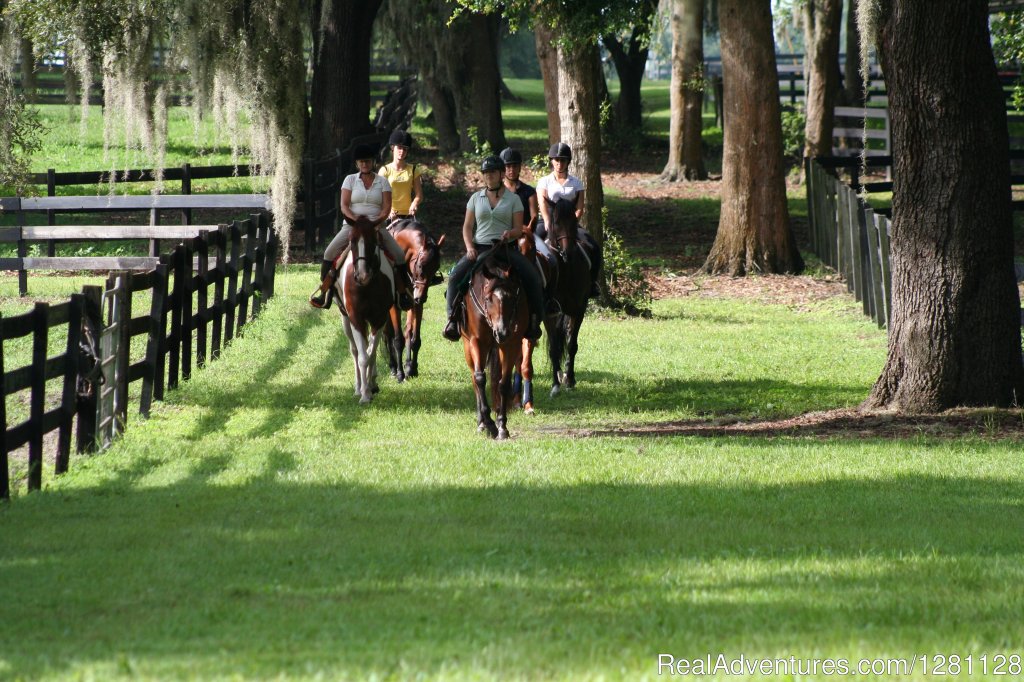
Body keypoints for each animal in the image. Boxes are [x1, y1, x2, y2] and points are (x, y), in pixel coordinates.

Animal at [335, 218, 399, 401]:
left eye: (373, 241)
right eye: (351, 241)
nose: (362, 276)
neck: (367, 287)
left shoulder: (380, 318)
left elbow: (371, 353)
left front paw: (370, 387)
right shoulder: (356, 318)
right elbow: (363, 356)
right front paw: (364, 394)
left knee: (371, 349)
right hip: (346, 319)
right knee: (355, 350)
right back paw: (358, 387)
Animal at [385, 216, 446, 376]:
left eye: (436, 267)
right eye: (420, 266)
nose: (421, 297)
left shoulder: (417, 304)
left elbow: (415, 339)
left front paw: (412, 368)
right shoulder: (394, 305)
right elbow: (397, 339)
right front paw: (400, 373)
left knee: (407, 331)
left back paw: (406, 365)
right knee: (388, 334)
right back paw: (393, 367)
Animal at [460, 241, 532, 438]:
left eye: (512, 298)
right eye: (487, 298)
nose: (501, 331)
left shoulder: (511, 343)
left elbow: (503, 383)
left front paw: (502, 425)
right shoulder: (477, 341)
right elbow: (479, 379)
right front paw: (489, 423)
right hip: (468, 344)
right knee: (474, 379)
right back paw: (481, 423)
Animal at [540, 196, 598, 395]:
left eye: (574, 220)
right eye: (556, 222)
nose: (569, 253)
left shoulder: (578, 310)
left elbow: (571, 344)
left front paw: (570, 379)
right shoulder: (548, 313)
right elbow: (554, 348)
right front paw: (555, 385)